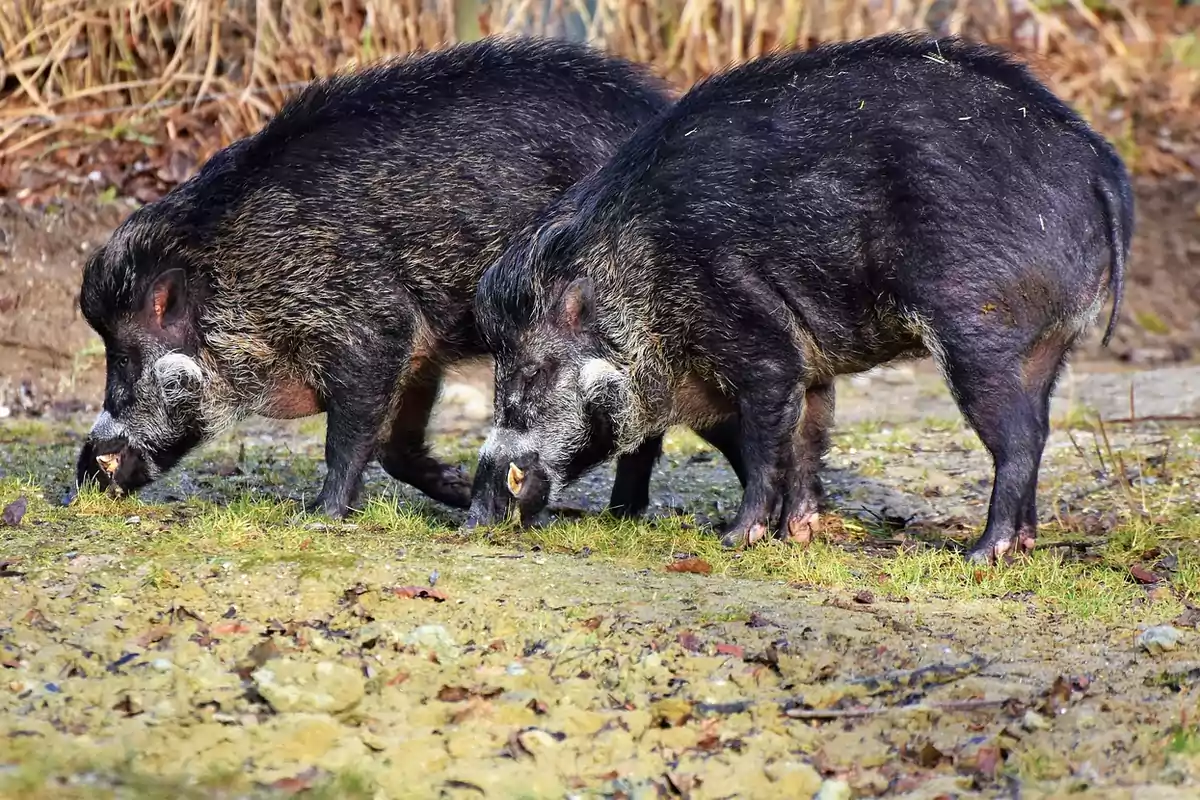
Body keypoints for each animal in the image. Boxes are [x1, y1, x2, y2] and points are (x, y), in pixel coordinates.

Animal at [75, 35, 739, 520]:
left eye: (127, 358)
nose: (80, 474)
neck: (243, 268)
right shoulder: (421, 348)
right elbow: (397, 447)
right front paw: (457, 491)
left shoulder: (370, 327)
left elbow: (348, 436)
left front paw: (319, 515)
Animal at [463, 32, 1128, 563]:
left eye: (533, 370)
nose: (473, 518)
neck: (641, 280)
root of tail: (1101, 165)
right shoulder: (809, 365)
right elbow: (809, 438)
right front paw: (797, 535)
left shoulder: (761, 341)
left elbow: (766, 444)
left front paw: (736, 539)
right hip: (1051, 342)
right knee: (1040, 426)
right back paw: (1022, 544)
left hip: (979, 330)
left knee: (1018, 437)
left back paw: (982, 553)